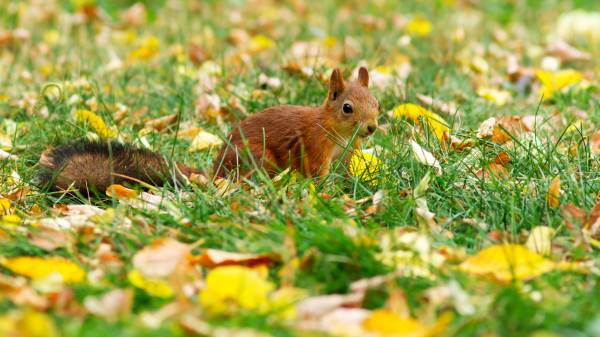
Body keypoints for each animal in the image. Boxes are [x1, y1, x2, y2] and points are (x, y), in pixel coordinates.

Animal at [38, 67, 380, 192]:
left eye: (377, 102)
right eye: (347, 108)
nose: (372, 128)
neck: (337, 133)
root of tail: (216, 172)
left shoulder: (345, 154)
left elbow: (345, 172)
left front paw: (351, 186)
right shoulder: (315, 147)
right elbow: (316, 172)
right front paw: (326, 191)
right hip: (256, 158)